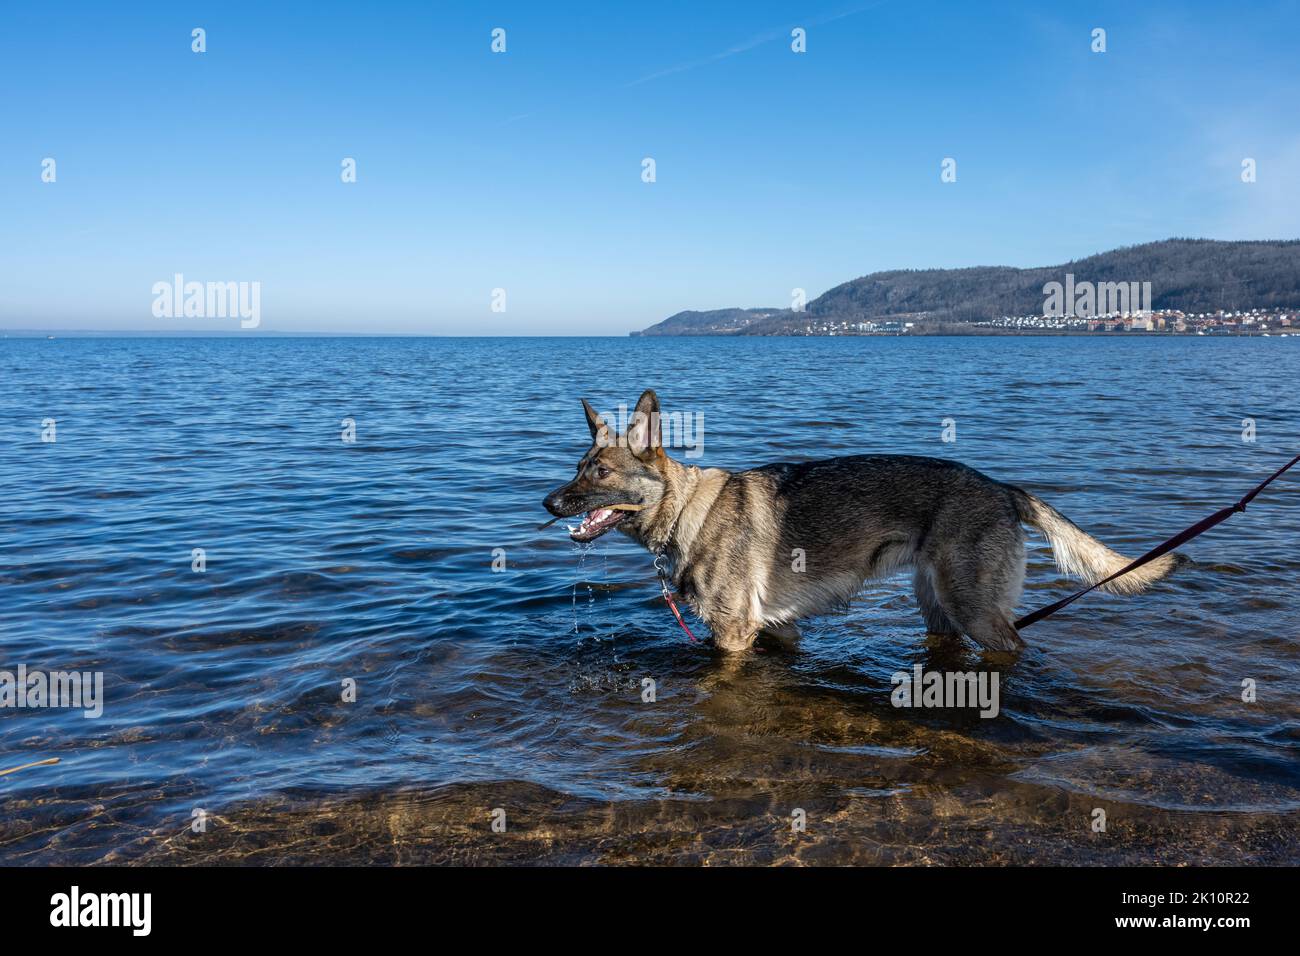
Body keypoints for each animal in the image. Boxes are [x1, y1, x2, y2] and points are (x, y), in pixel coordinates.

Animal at [540, 392, 1180, 655]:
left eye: (600, 472)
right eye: (577, 467)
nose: (546, 504)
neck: (686, 512)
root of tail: (1002, 488)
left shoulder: (733, 636)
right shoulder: (776, 631)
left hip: (975, 612)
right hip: (939, 610)